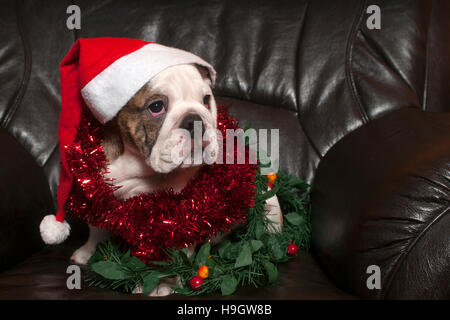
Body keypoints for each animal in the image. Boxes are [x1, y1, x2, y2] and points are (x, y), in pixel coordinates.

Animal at [70, 63, 282, 296]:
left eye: (206, 99)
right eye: (156, 107)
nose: (196, 119)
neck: (142, 168)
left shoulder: (180, 216)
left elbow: (175, 254)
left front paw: (165, 283)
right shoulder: (97, 192)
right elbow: (96, 228)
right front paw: (88, 252)